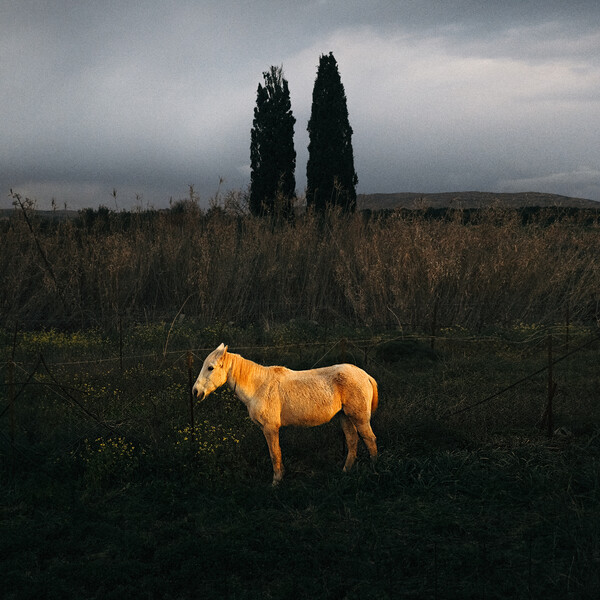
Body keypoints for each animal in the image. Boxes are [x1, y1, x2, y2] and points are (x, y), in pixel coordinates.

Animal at [193, 344, 380, 486]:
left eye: (210, 368)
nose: (196, 392)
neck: (259, 386)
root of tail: (365, 375)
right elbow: (277, 453)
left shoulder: (270, 428)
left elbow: (274, 454)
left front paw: (276, 482)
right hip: (345, 416)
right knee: (352, 441)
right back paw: (345, 471)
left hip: (359, 417)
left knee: (369, 439)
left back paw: (374, 470)